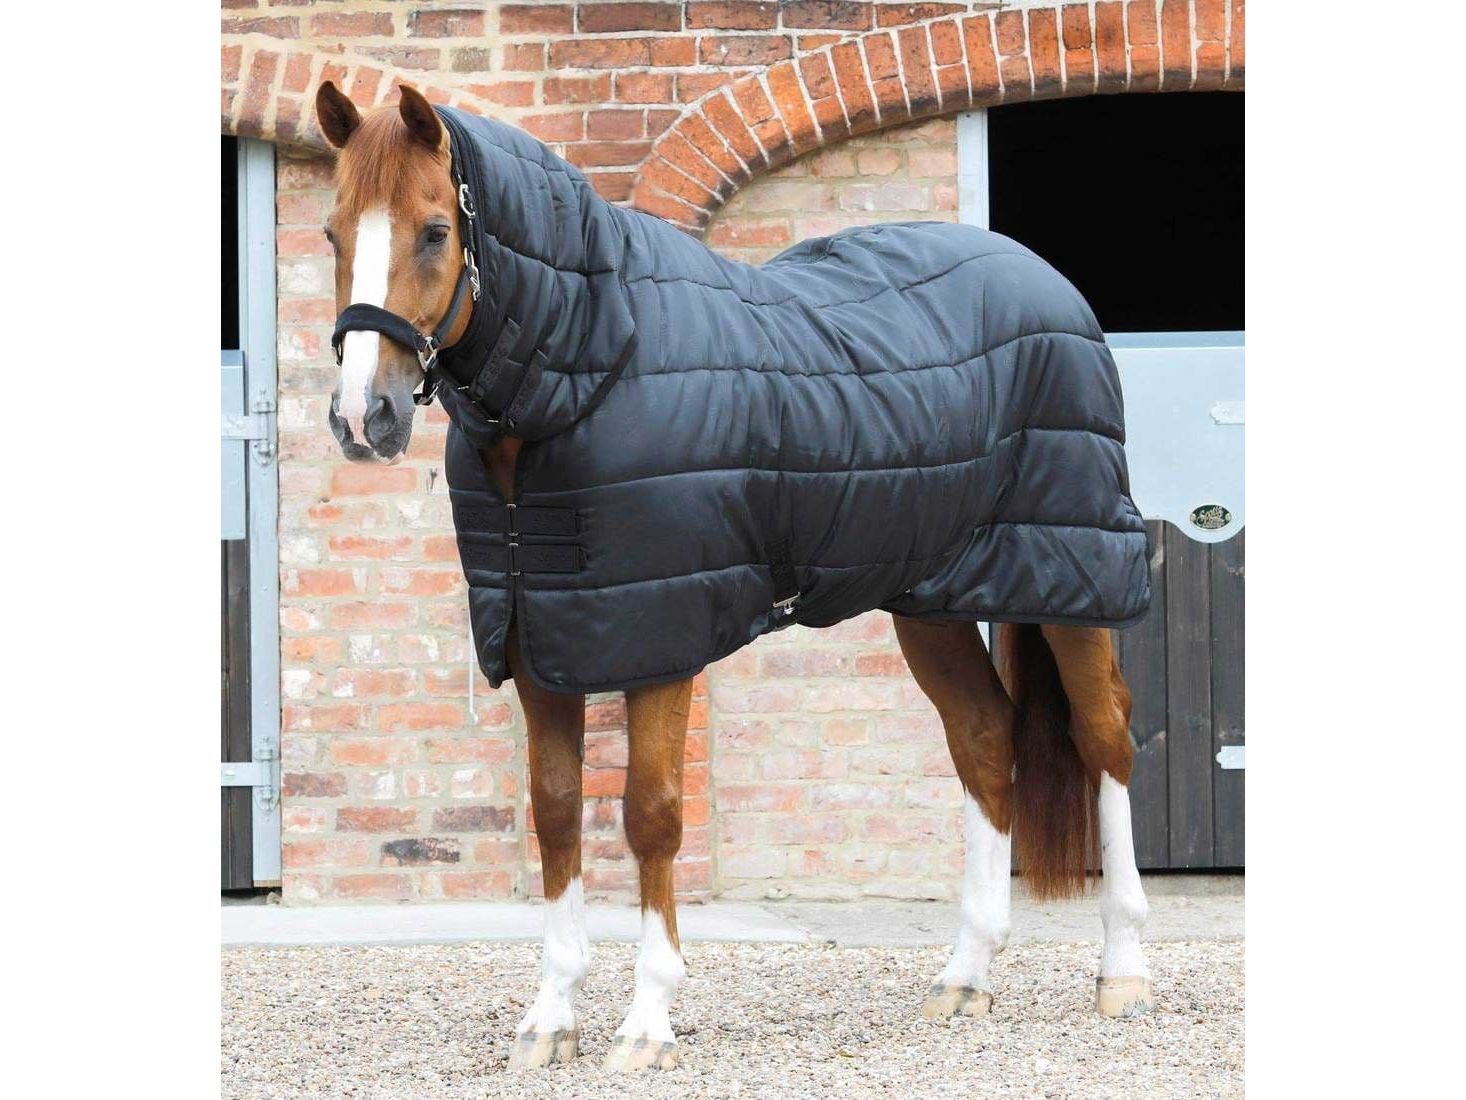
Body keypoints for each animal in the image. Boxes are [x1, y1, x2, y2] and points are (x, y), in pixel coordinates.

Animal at [312, 82, 1155, 1072]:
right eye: (332, 231)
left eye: (436, 229)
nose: (363, 418)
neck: (592, 365)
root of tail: (1045, 281)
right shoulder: (536, 640)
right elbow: (556, 812)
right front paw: (551, 1017)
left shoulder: (662, 642)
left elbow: (650, 813)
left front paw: (647, 1021)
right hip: (931, 598)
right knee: (987, 742)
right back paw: (965, 976)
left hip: (1074, 576)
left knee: (1105, 739)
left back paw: (1123, 971)